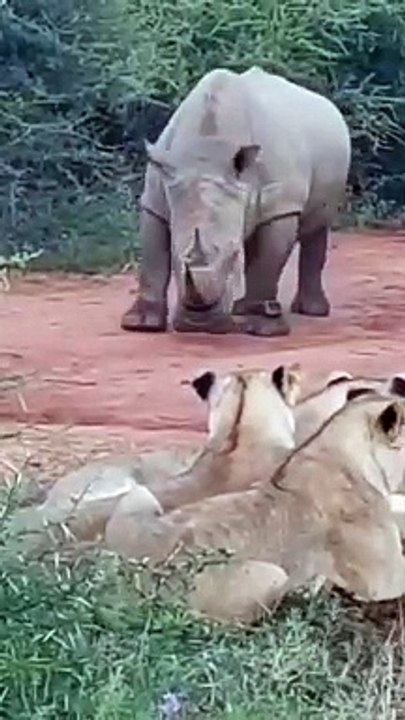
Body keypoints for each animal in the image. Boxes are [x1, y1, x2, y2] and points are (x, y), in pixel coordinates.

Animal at [121, 66, 351, 336]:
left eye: (234, 256)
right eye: (178, 257)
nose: (200, 325)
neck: (206, 153)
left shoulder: (282, 208)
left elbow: (268, 262)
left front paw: (265, 330)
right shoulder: (157, 194)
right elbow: (152, 258)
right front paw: (140, 324)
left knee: (317, 226)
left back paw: (311, 312)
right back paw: (243, 309)